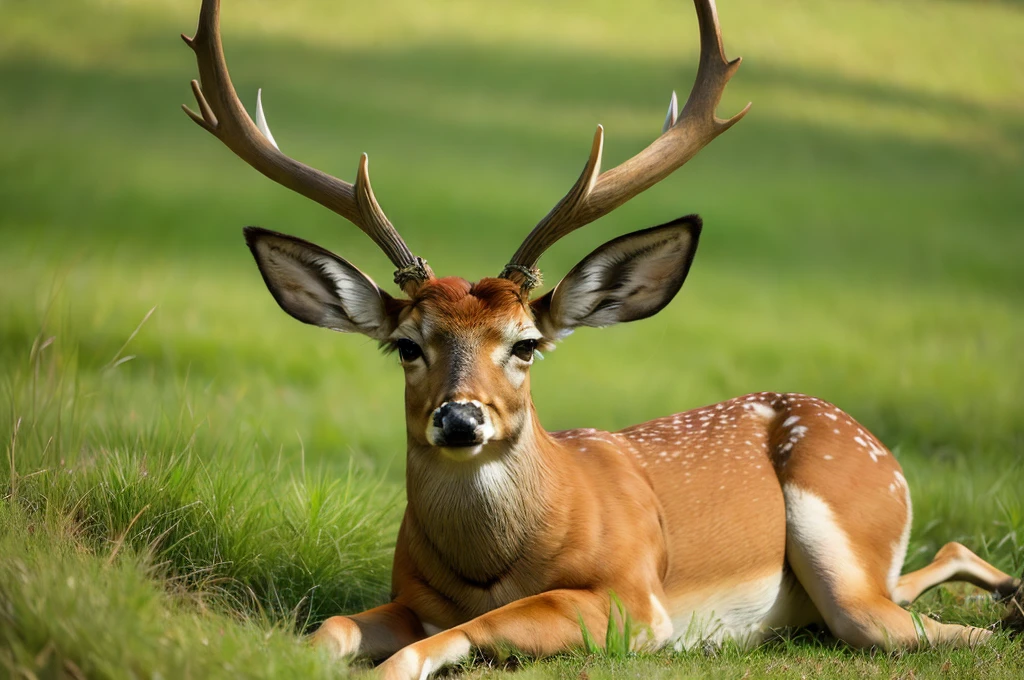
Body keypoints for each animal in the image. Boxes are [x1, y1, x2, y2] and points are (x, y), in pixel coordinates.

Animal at [180, 1, 1019, 680]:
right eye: (407, 345)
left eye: (525, 343)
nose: (460, 418)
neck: (493, 562)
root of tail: (866, 435)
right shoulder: (406, 593)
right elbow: (332, 627)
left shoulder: (634, 600)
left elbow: (468, 632)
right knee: (932, 568)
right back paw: (1007, 587)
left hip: (851, 558)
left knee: (923, 628)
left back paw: (1007, 606)